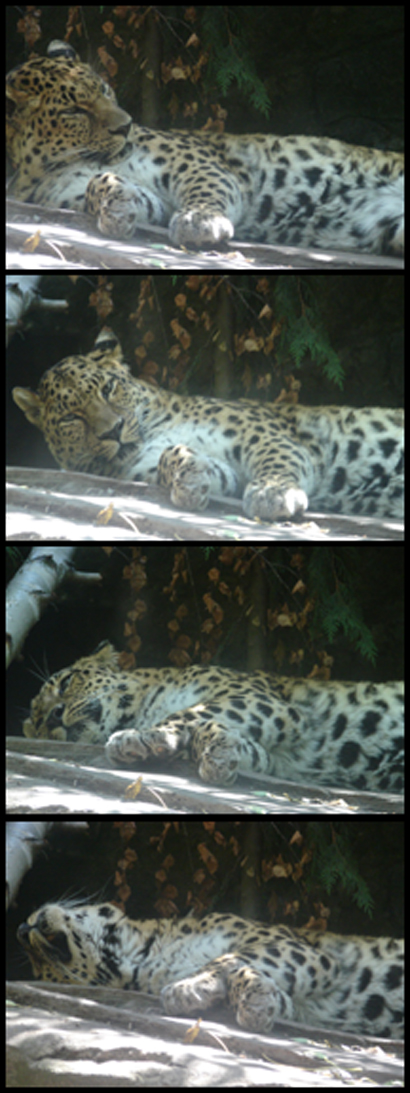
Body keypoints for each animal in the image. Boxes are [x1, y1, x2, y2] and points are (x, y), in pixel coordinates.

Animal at [6, 39, 404, 254]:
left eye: (104, 90)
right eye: (74, 111)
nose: (126, 126)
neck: (43, 168)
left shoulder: (195, 163)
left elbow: (205, 188)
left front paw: (200, 222)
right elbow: (103, 186)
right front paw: (116, 206)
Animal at [12, 325, 404, 522]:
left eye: (108, 389)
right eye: (71, 418)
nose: (113, 430)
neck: (155, 426)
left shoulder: (264, 435)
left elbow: (275, 460)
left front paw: (272, 494)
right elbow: (178, 458)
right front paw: (190, 479)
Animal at [16, 900, 404, 1036]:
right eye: (41, 970)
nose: (21, 929)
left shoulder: (300, 948)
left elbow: (229, 958)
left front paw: (188, 989)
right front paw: (261, 1004)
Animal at [20, 638, 404, 791]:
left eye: (66, 682)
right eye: (37, 723)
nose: (53, 717)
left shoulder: (255, 698)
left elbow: (194, 711)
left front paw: (142, 738)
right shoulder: (280, 757)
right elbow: (245, 747)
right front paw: (222, 755)